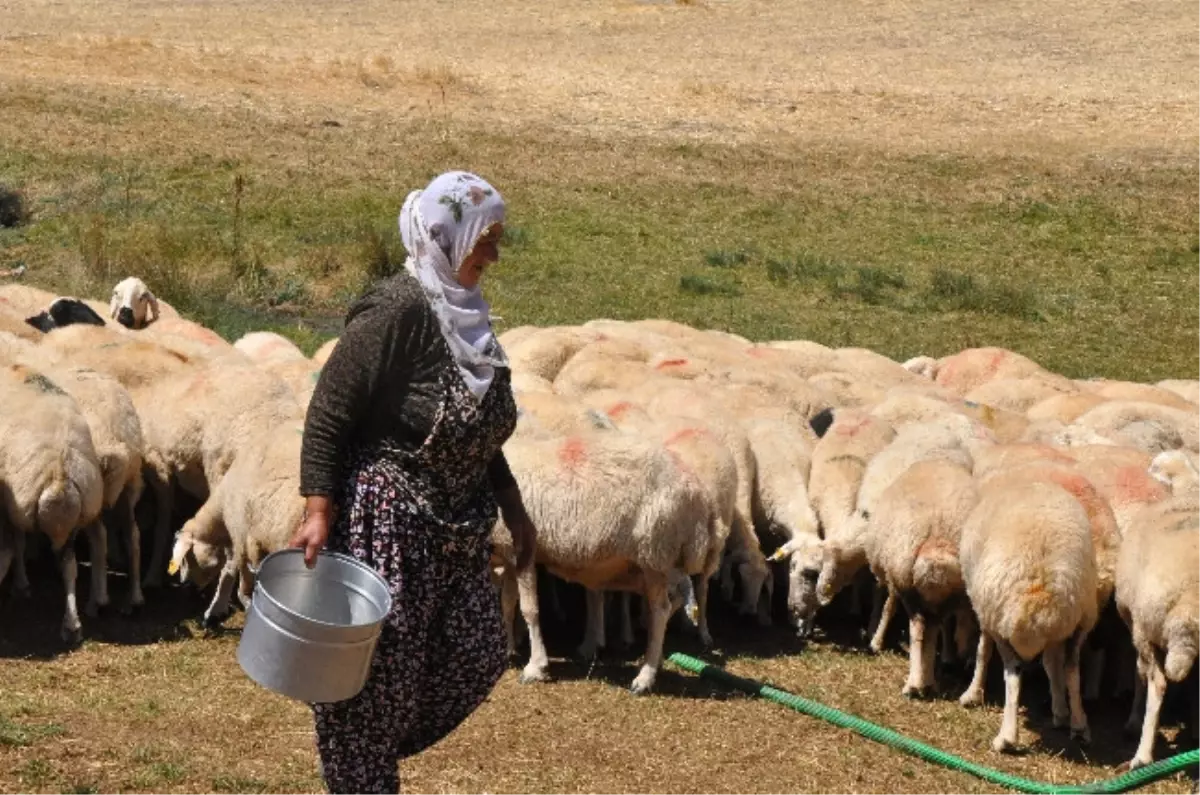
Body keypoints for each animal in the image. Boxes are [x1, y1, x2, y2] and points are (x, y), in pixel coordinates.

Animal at [0, 365, 104, 643]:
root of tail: (60, 468)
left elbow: (16, 546)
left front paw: (21, 585)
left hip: (19, 503)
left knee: (9, 550)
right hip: (77, 516)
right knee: (69, 566)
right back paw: (72, 625)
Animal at [499, 427, 720, 696]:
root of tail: (701, 494)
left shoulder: (524, 550)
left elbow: (529, 609)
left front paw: (535, 667)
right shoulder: (508, 555)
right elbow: (508, 604)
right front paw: (510, 650)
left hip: (654, 551)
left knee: (661, 608)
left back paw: (644, 677)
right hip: (658, 561)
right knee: (674, 598)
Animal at [868, 461, 979, 696]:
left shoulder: (896, 580)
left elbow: (889, 606)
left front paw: (876, 641)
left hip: (908, 581)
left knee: (919, 628)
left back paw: (916, 684)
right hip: (951, 591)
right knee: (933, 626)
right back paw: (928, 680)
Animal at [955, 475, 1099, 758]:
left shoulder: (984, 611)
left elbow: (982, 651)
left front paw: (972, 693)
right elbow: (1052, 664)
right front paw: (1060, 710)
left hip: (1002, 618)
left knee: (1013, 674)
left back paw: (1007, 737)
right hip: (1081, 617)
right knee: (1071, 668)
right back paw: (1079, 724)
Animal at [1108, 492, 1200, 773]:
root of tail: (1191, 600)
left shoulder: (1137, 629)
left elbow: (1138, 674)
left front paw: (1132, 722)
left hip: (1146, 632)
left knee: (1157, 684)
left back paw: (1141, 755)